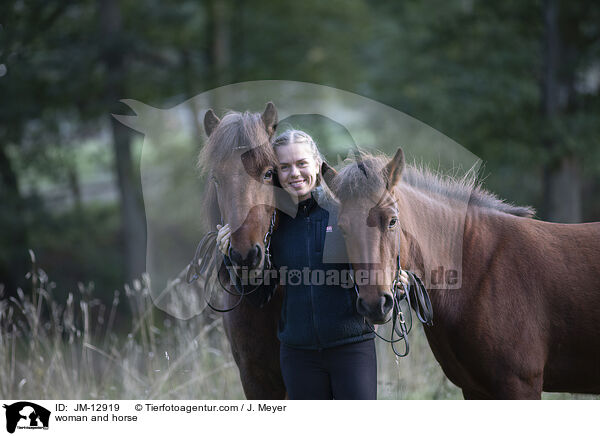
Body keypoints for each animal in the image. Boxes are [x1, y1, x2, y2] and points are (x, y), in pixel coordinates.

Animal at [324, 149, 600, 398]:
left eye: (392, 221)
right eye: (342, 228)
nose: (374, 304)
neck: (479, 267)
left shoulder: (520, 385)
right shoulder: (475, 389)